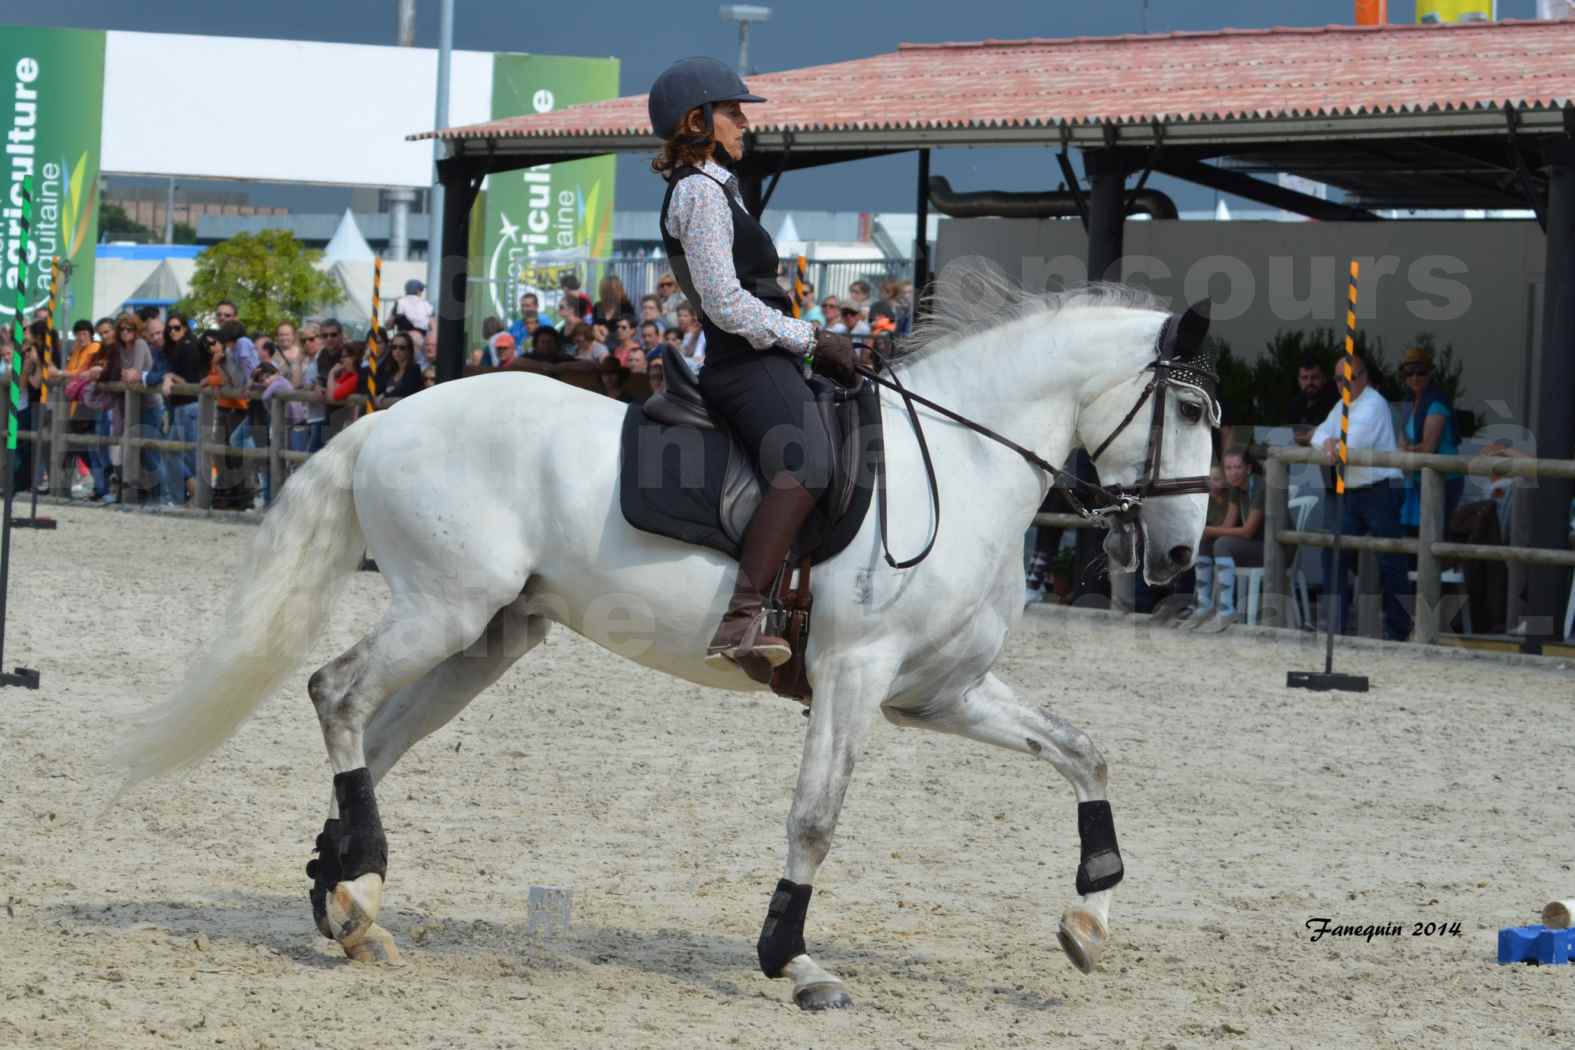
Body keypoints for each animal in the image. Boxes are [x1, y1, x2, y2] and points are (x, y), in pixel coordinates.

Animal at [116, 277, 1215, 1007]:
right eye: (1192, 407)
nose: (1174, 560)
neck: (961, 460)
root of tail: (385, 419)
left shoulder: (940, 693)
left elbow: (1084, 753)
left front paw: (1088, 921)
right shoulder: (854, 677)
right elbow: (815, 821)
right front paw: (794, 962)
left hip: (488, 637)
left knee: (376, 738)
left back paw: (348, 900)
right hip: (445, 610)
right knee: (337, 696)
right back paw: (353, 890)